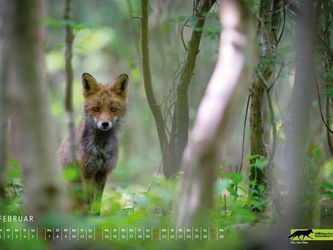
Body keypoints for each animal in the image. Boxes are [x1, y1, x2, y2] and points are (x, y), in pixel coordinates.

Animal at [56, 72, 127, 211]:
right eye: (96, 109)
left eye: (113, 109)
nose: (105, 124)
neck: (100, 148)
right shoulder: (86, 172)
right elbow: (89, 202)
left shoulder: (102, 173)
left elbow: (97, 205)